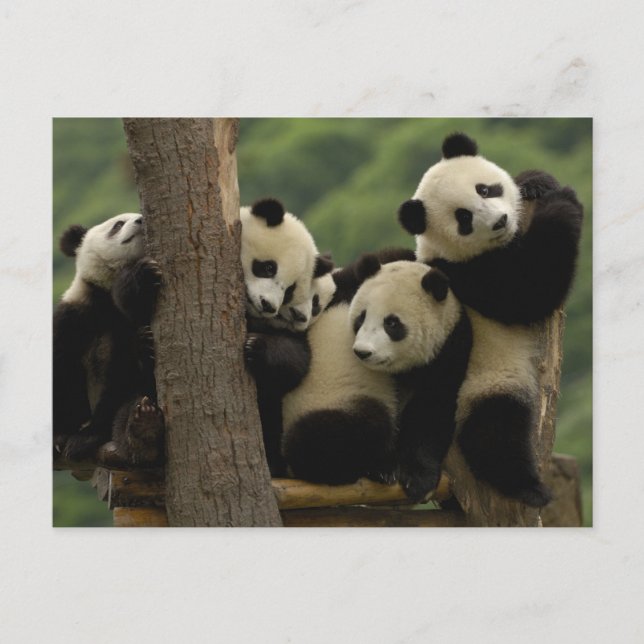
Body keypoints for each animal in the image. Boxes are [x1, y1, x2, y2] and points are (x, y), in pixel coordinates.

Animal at [53, 213, 164, 465]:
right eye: (118, 224)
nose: (141, 220)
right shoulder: (75, 315)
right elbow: (61, 368)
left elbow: (122, 377)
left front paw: (86, 437)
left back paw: (143, 429)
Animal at [398, 132, 583, 507]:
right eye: (464, 218)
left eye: (484, 189)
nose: (500, 221)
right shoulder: (466, 276)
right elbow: (530, 291)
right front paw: (563, 201)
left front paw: (537, 182)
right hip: (484, 381)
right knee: (495, 430)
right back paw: (527, 487)